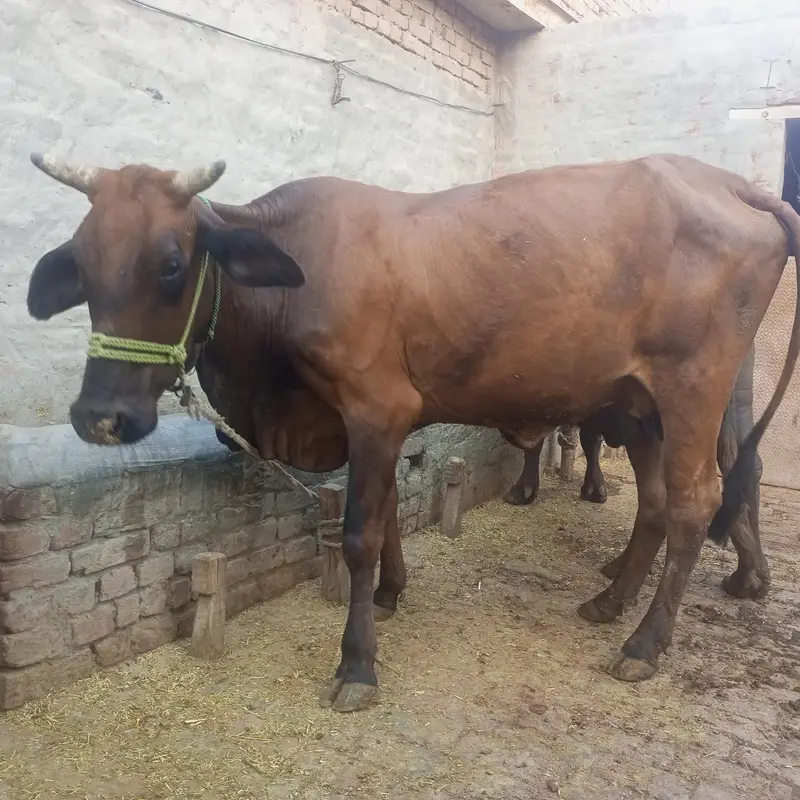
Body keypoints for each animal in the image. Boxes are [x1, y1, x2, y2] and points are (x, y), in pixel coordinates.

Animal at [503, 348, 769, 600]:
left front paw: (522, 490)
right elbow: (589, 438)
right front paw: (594, 488)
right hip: (733, 403)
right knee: (744, 465)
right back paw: (751, 578)